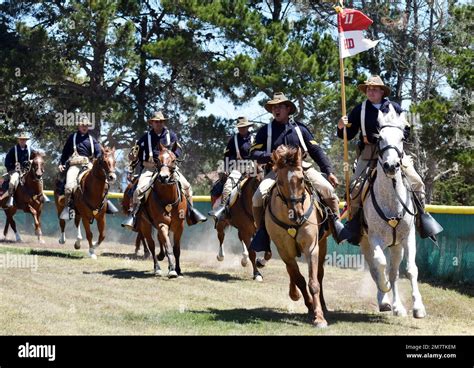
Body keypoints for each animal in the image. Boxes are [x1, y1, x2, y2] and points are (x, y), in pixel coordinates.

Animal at [137, 145, 187, 278]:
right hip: (145, 225)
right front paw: (172, 270)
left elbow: (176, 249)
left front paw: (178, 269)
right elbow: (168, 246)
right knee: (152, 245)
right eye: (158, 160)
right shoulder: (161, 224)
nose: (163, 177)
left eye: (173, 160)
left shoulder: (179, 226)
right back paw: (157, 268)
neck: (168, 199)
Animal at [266, 144, 330, 328]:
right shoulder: (284, 251)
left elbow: (313, 282)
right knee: (292, 273)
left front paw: (319, 317)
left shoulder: (312, 247)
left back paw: (323, 306)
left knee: (319, 274)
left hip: (322, 246)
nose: (297, 213)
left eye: (301, 179)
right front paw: (310, 308)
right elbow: (299, 279)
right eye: (280, 182)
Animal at [360, 105, 426, 318]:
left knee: (395, 271)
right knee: (377, 269)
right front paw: (384, 291)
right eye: (379, 137)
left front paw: (418, 307)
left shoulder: (409, 237)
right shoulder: (374, 238)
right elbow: (380, 264)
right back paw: (385, 300)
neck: (391, 200)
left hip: (396, 246)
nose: (391, 165)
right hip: (366, 243)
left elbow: (411, 269)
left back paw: (397, 306)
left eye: (402, 137)